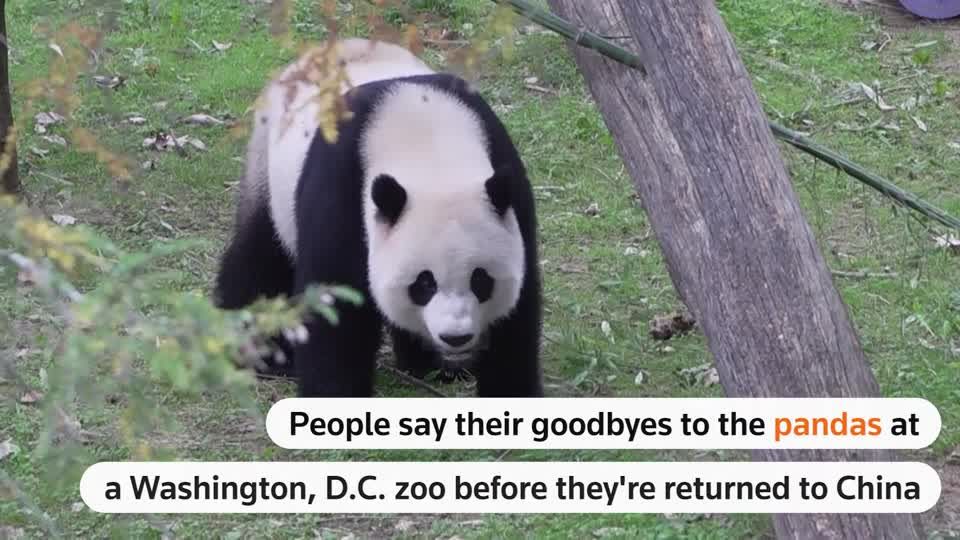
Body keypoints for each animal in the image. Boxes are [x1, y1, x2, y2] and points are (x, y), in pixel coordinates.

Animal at [214, 38, 543, 398]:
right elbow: (335, 305)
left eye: (481, 280)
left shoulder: (508, 181)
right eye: (424, 283)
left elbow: (517, 318)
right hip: (269, 168)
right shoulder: (341, 183)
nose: (455, 337)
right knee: (261, 254)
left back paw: (431, 366)